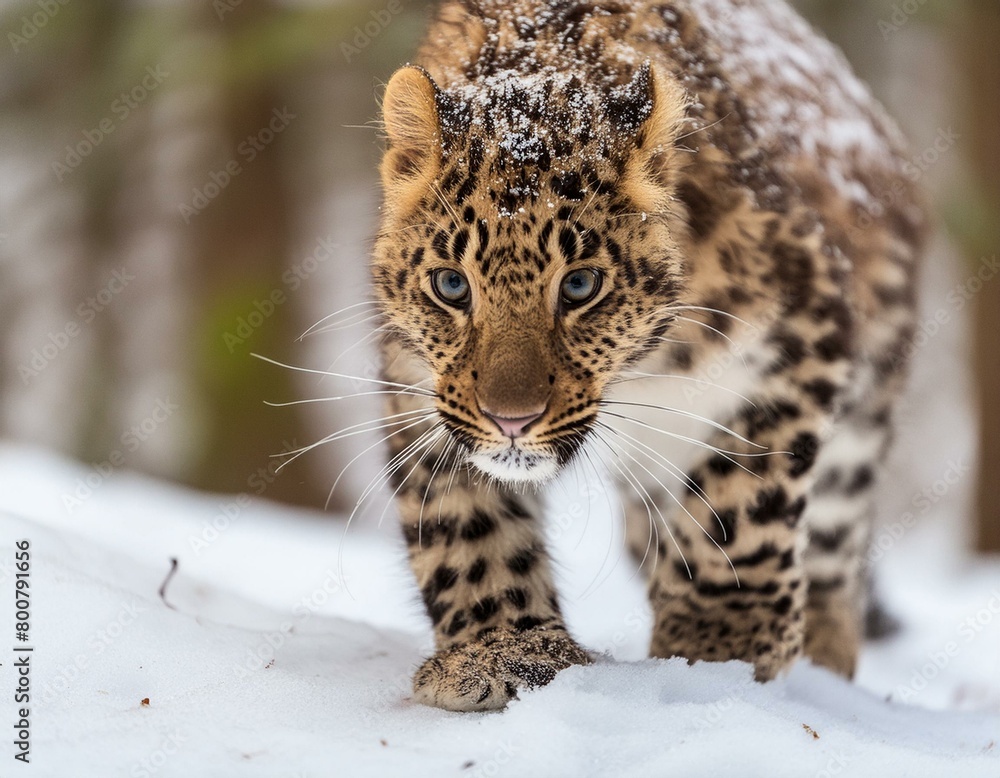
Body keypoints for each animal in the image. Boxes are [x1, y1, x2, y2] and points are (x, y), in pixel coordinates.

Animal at [368, 0, 927, 711]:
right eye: (451, 286)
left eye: (581, 286)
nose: (511, 420)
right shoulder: (419, 385)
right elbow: (464, 530)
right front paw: (503, 652)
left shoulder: (806, 320)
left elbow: (744, 495)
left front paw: (722, 640)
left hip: (864, 413)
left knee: (834, 539)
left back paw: (823, 652)